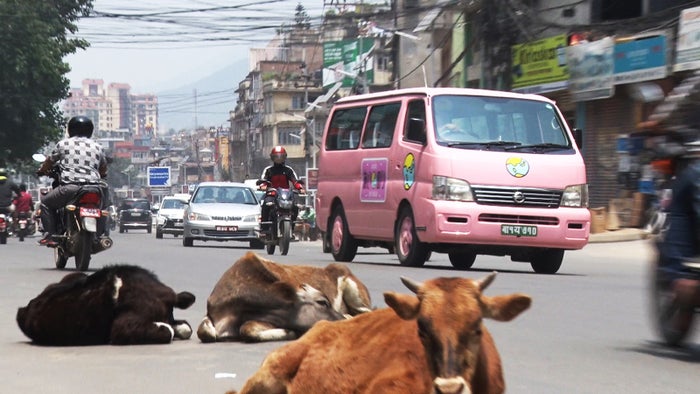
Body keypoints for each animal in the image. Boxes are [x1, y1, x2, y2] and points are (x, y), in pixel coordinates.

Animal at [197, 252, 372, 342]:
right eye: (322, 302)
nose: (341, 320)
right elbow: (204, 331)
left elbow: (247, 329)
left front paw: (292, 333)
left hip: (358, 297)